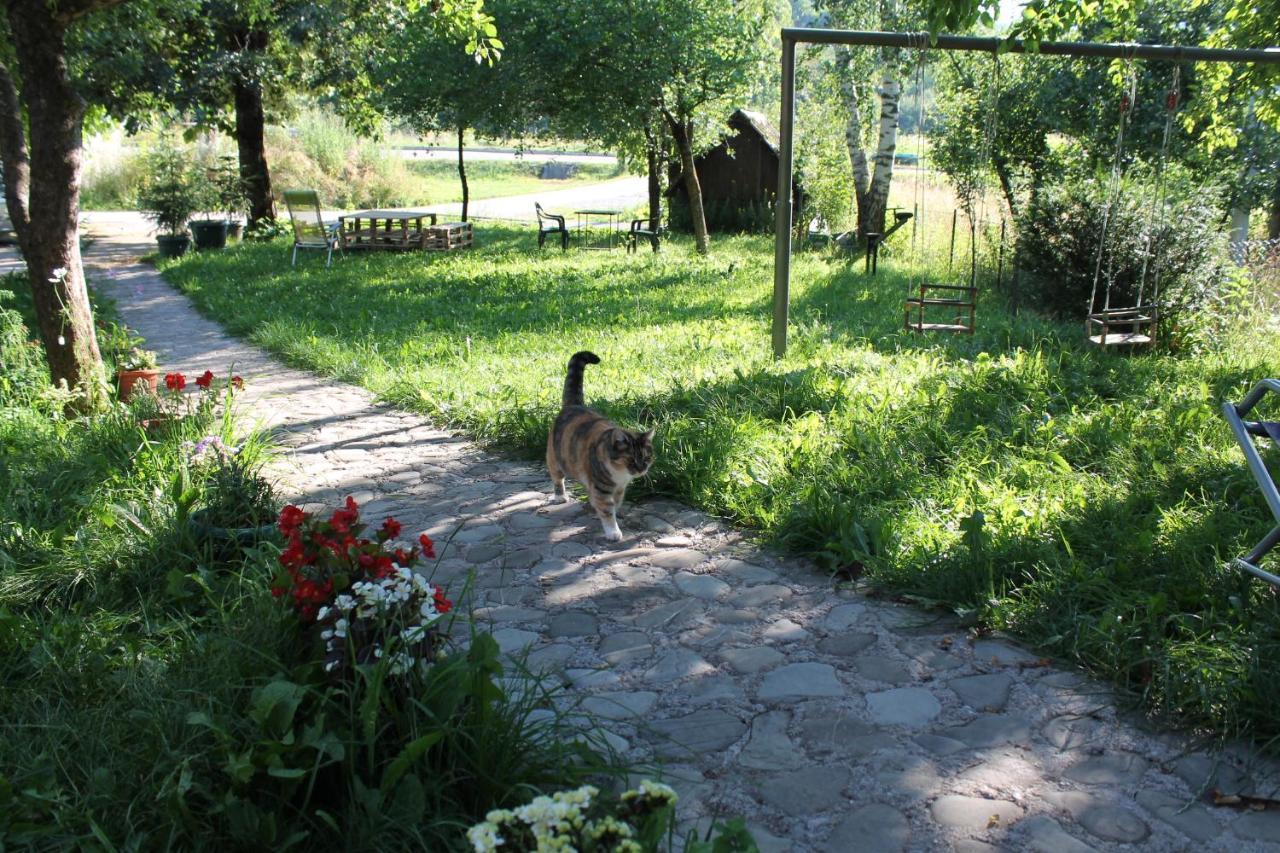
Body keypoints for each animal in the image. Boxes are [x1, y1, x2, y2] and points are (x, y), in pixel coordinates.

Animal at [545, 350, 655, 537]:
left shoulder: (619, 488)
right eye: (631, 459)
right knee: (557, 477)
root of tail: (574, 405)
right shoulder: (601, 488)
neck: (620, 474)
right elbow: (607, 509)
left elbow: (615, 504)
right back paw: (560, 496)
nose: (641, 469)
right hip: (555, 458)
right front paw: (613, 531)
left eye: (646, 458)